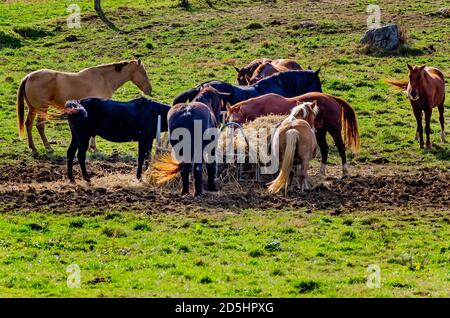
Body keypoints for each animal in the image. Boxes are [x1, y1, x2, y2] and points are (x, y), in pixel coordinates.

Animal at [16, 60, 152, 155]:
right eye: (143, 72)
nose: (149, 90)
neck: (104, 79)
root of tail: (28, 77)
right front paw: (94, 148)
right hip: (42, 109)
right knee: (40, 125)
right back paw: (48, 148)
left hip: (33, 109)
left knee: (28, 124)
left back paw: (33, 148)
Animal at [227, 92, 360, 178]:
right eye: (227, 119)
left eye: (237, 120)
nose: (229, 137)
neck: (261, 107)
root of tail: (331, 97)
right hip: (321, 132)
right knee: (325, 149)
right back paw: (321, 172)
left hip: (334, 131)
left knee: (341, 148)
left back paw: (345, 172)